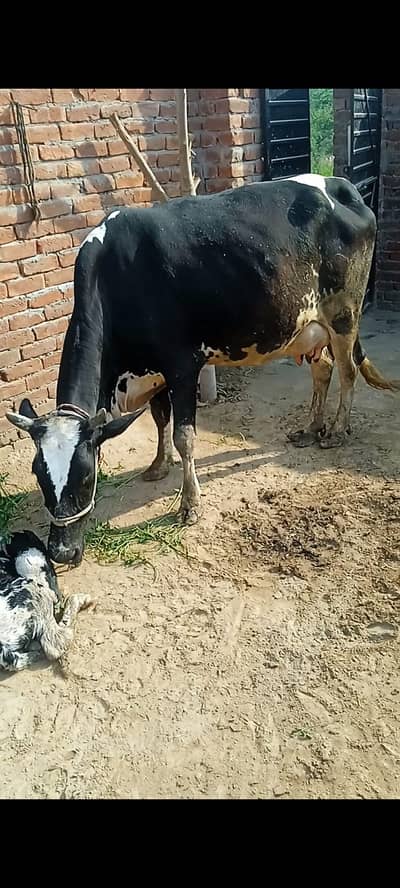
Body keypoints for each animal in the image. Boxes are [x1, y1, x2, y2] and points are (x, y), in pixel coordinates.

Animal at [7, 174, 399, 566]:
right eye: (38, 475)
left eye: (87, 476)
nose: (61, 552)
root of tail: (342, 185)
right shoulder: (155, 370)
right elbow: (160, 419)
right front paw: (158, 466)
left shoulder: (182, 365)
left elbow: (184, 436)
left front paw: (190, 504)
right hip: (306, 327)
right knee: (324, 370)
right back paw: (311, 428)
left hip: (344, 313)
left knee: (347, 371)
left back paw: (336, 431)